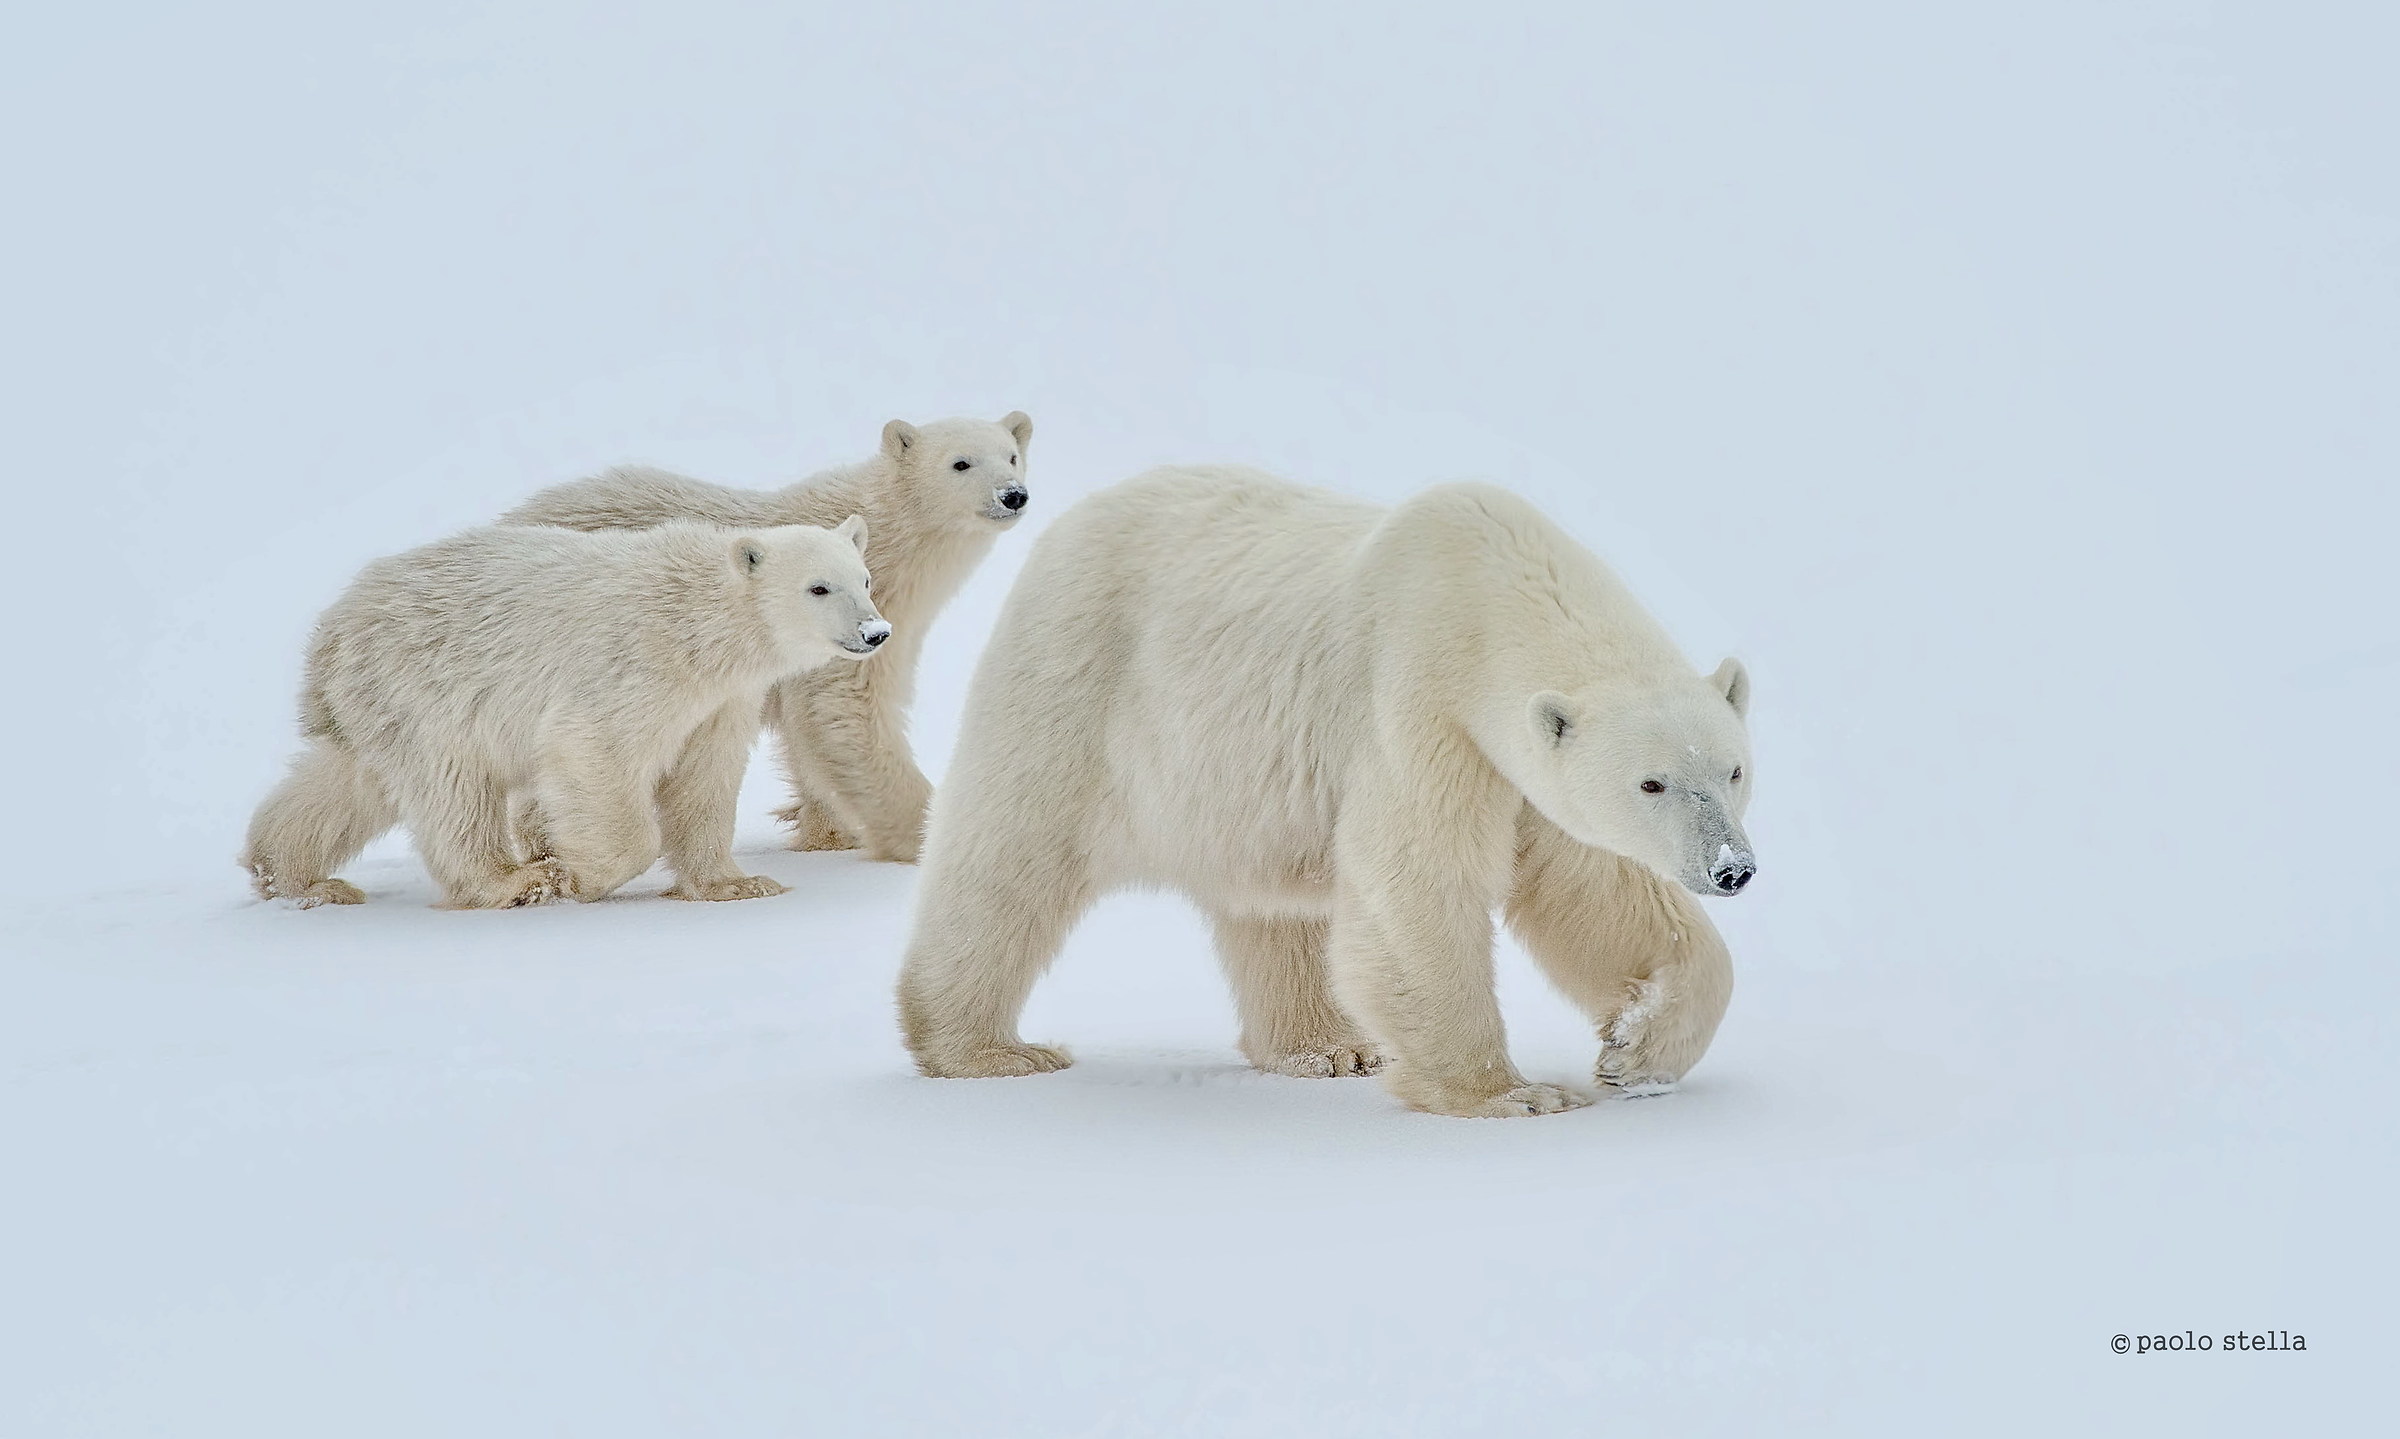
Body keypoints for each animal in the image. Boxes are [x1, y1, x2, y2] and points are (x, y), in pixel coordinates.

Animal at [243, 518, 886, 910]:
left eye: (865, 578)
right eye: (818, 587)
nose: (875, 632)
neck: (698, 621)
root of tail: (334, 627)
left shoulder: (720, 701)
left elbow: (704, 779)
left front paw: (737, 883)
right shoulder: (637, 665)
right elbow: (593, 748)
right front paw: (571, 872)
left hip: (374, 705)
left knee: (347, 784)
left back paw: (295, 876)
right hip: (424, 688)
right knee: (452, 789)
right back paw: (509, 882)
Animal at [499, 412, 1034, 863]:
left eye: (1011, 454)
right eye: (960, 462)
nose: (1013, 495)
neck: (884, 536)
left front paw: (827, 833)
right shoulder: (831, 623)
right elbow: (840, 710)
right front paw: (923, 833)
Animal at [896, 468, 1754, 1118]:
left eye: (1734, 770)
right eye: (1652, 780)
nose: (1732, 868)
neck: (1487, 597)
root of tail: (1067, 523)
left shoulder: (1519, 772)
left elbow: (1596, 893)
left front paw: (1636, 1053)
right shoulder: (1419, 706)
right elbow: (1419, 884)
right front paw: (1512, 1093)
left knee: (1271, 906)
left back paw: (1330, 1046)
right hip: (1077, 683)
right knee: (1008, 859)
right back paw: (988, 1049)